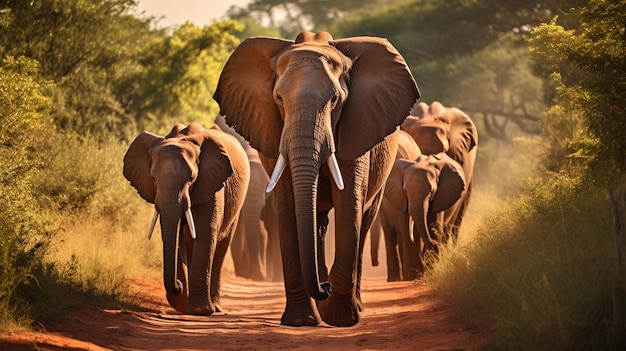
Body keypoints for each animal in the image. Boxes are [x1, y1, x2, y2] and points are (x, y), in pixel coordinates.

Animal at [122, 123, 249, 316]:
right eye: (153, 179)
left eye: (191, 179)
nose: (179, 285)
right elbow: (177, 237)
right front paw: (186, 306)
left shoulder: (212, 184)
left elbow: (205, 234)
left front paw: (199, 311)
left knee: (221, 247)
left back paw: (215, 308)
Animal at [213, 31, 420, 328]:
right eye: (278, 98)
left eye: (335, 100)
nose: (325, 288)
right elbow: (288, 207)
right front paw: (301, 321)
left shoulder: (355, 127)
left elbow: (349, 203)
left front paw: (340, 319)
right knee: (318, 223)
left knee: (364, 222)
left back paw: (353, 305)